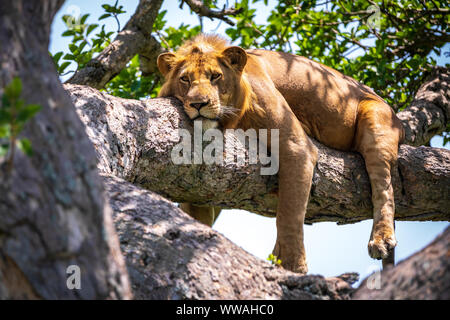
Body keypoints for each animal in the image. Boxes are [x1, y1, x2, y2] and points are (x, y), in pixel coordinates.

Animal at [156, 34, 402, 272]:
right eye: (185, 79)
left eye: (215, 76)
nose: (198, 104)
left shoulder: (296, 147)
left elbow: (288, 213)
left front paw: (292, 266)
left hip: (375, 121)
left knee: (384, 187)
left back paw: (381, 239)